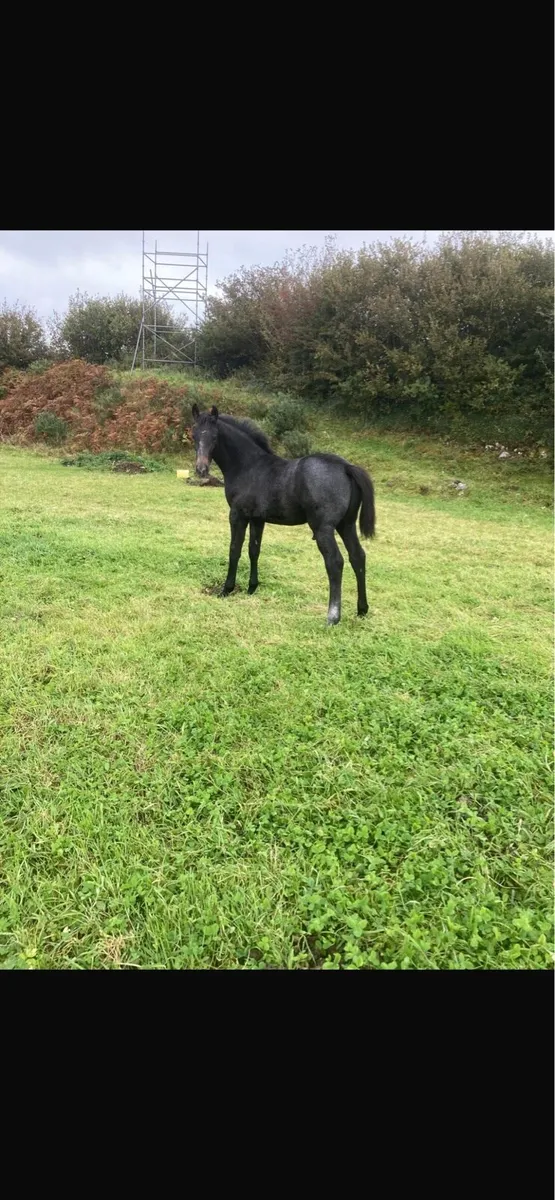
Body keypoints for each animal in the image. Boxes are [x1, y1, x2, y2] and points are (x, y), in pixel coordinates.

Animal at [191, 404, 375, 626]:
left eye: (215, 436)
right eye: (193, 435)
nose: (201, 469)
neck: (249, 466)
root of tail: (346, 467)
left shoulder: (237, 515)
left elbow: (234, 550)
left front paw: (227, 589)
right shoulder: (258, 519)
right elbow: (254, 550)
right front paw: (252, 587)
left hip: (323, 528)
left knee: (335, 562)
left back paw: (332, 616)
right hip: (346, 525)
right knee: (358, 557)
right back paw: (362, 609)